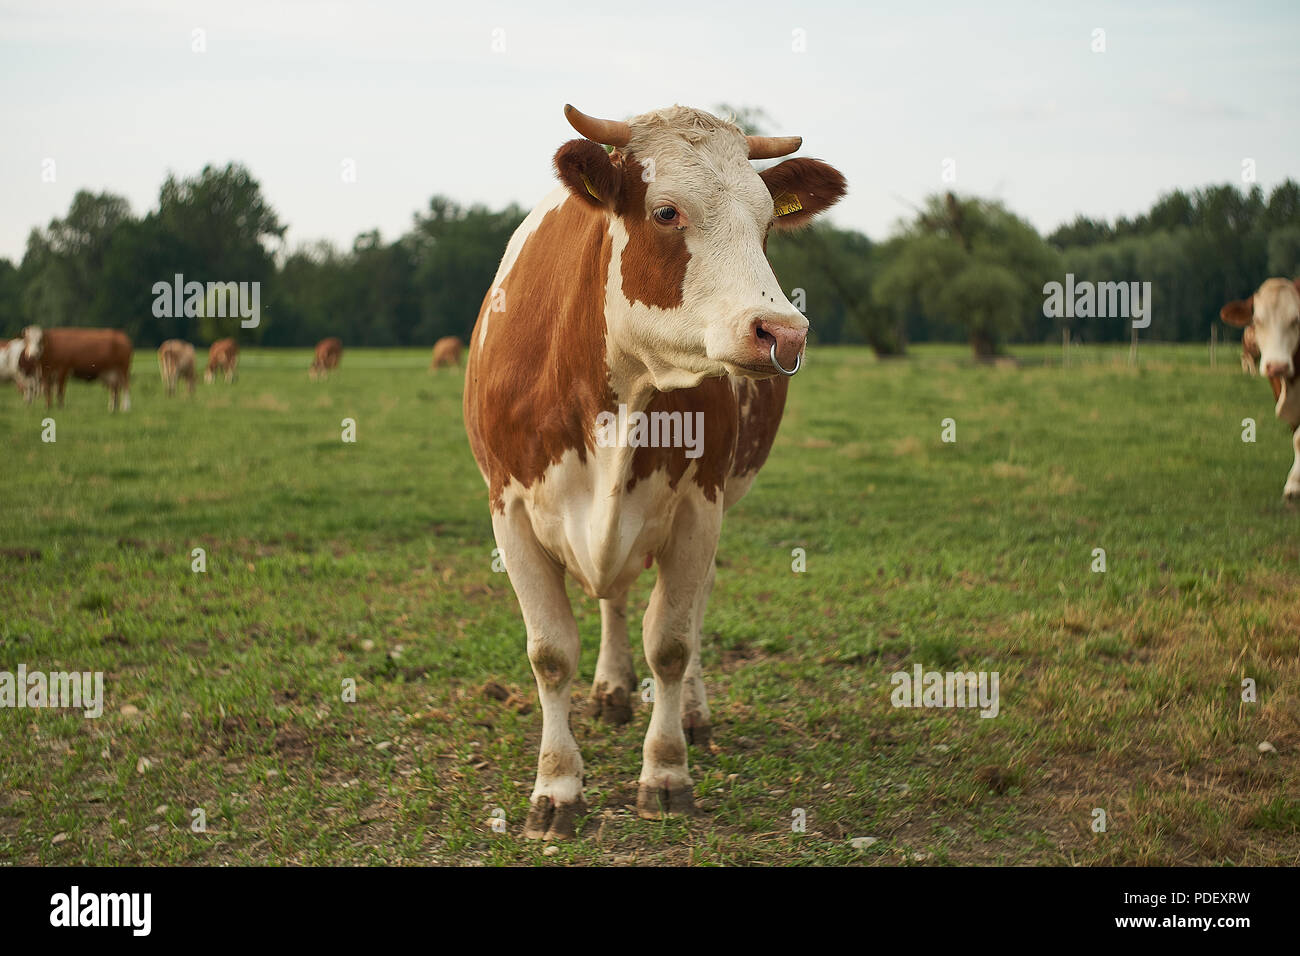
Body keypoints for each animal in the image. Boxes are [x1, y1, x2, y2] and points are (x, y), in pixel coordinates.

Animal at [463, 104, 846, 839]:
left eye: (765, 223)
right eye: (666, 212)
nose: (783, 332)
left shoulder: (700, 507)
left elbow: (669, 641)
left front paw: (666, 773)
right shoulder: (510, 511)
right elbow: (550, 653)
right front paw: (557, 786)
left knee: (689, 613)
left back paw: (692, 714)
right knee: (611, 599)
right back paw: (611, 691)